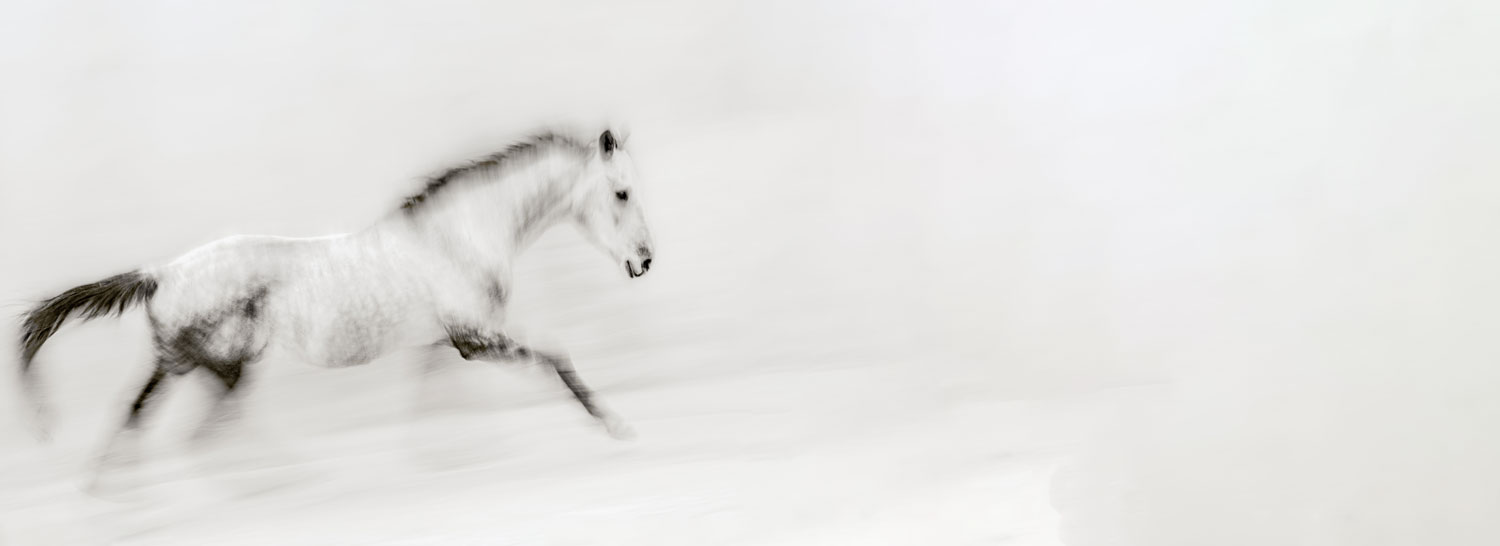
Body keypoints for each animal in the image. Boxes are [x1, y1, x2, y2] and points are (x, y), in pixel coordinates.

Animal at [17, 128, 653, 469]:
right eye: (622, 193)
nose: (644, 261)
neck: (457, 237)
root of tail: (162, 273)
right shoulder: (476, 338)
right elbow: (557, 359)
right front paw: (617, 425)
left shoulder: (444, 343)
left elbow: (431, 397)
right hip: (217, 366)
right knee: (190, 434)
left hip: (192, 366)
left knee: (139, 419)